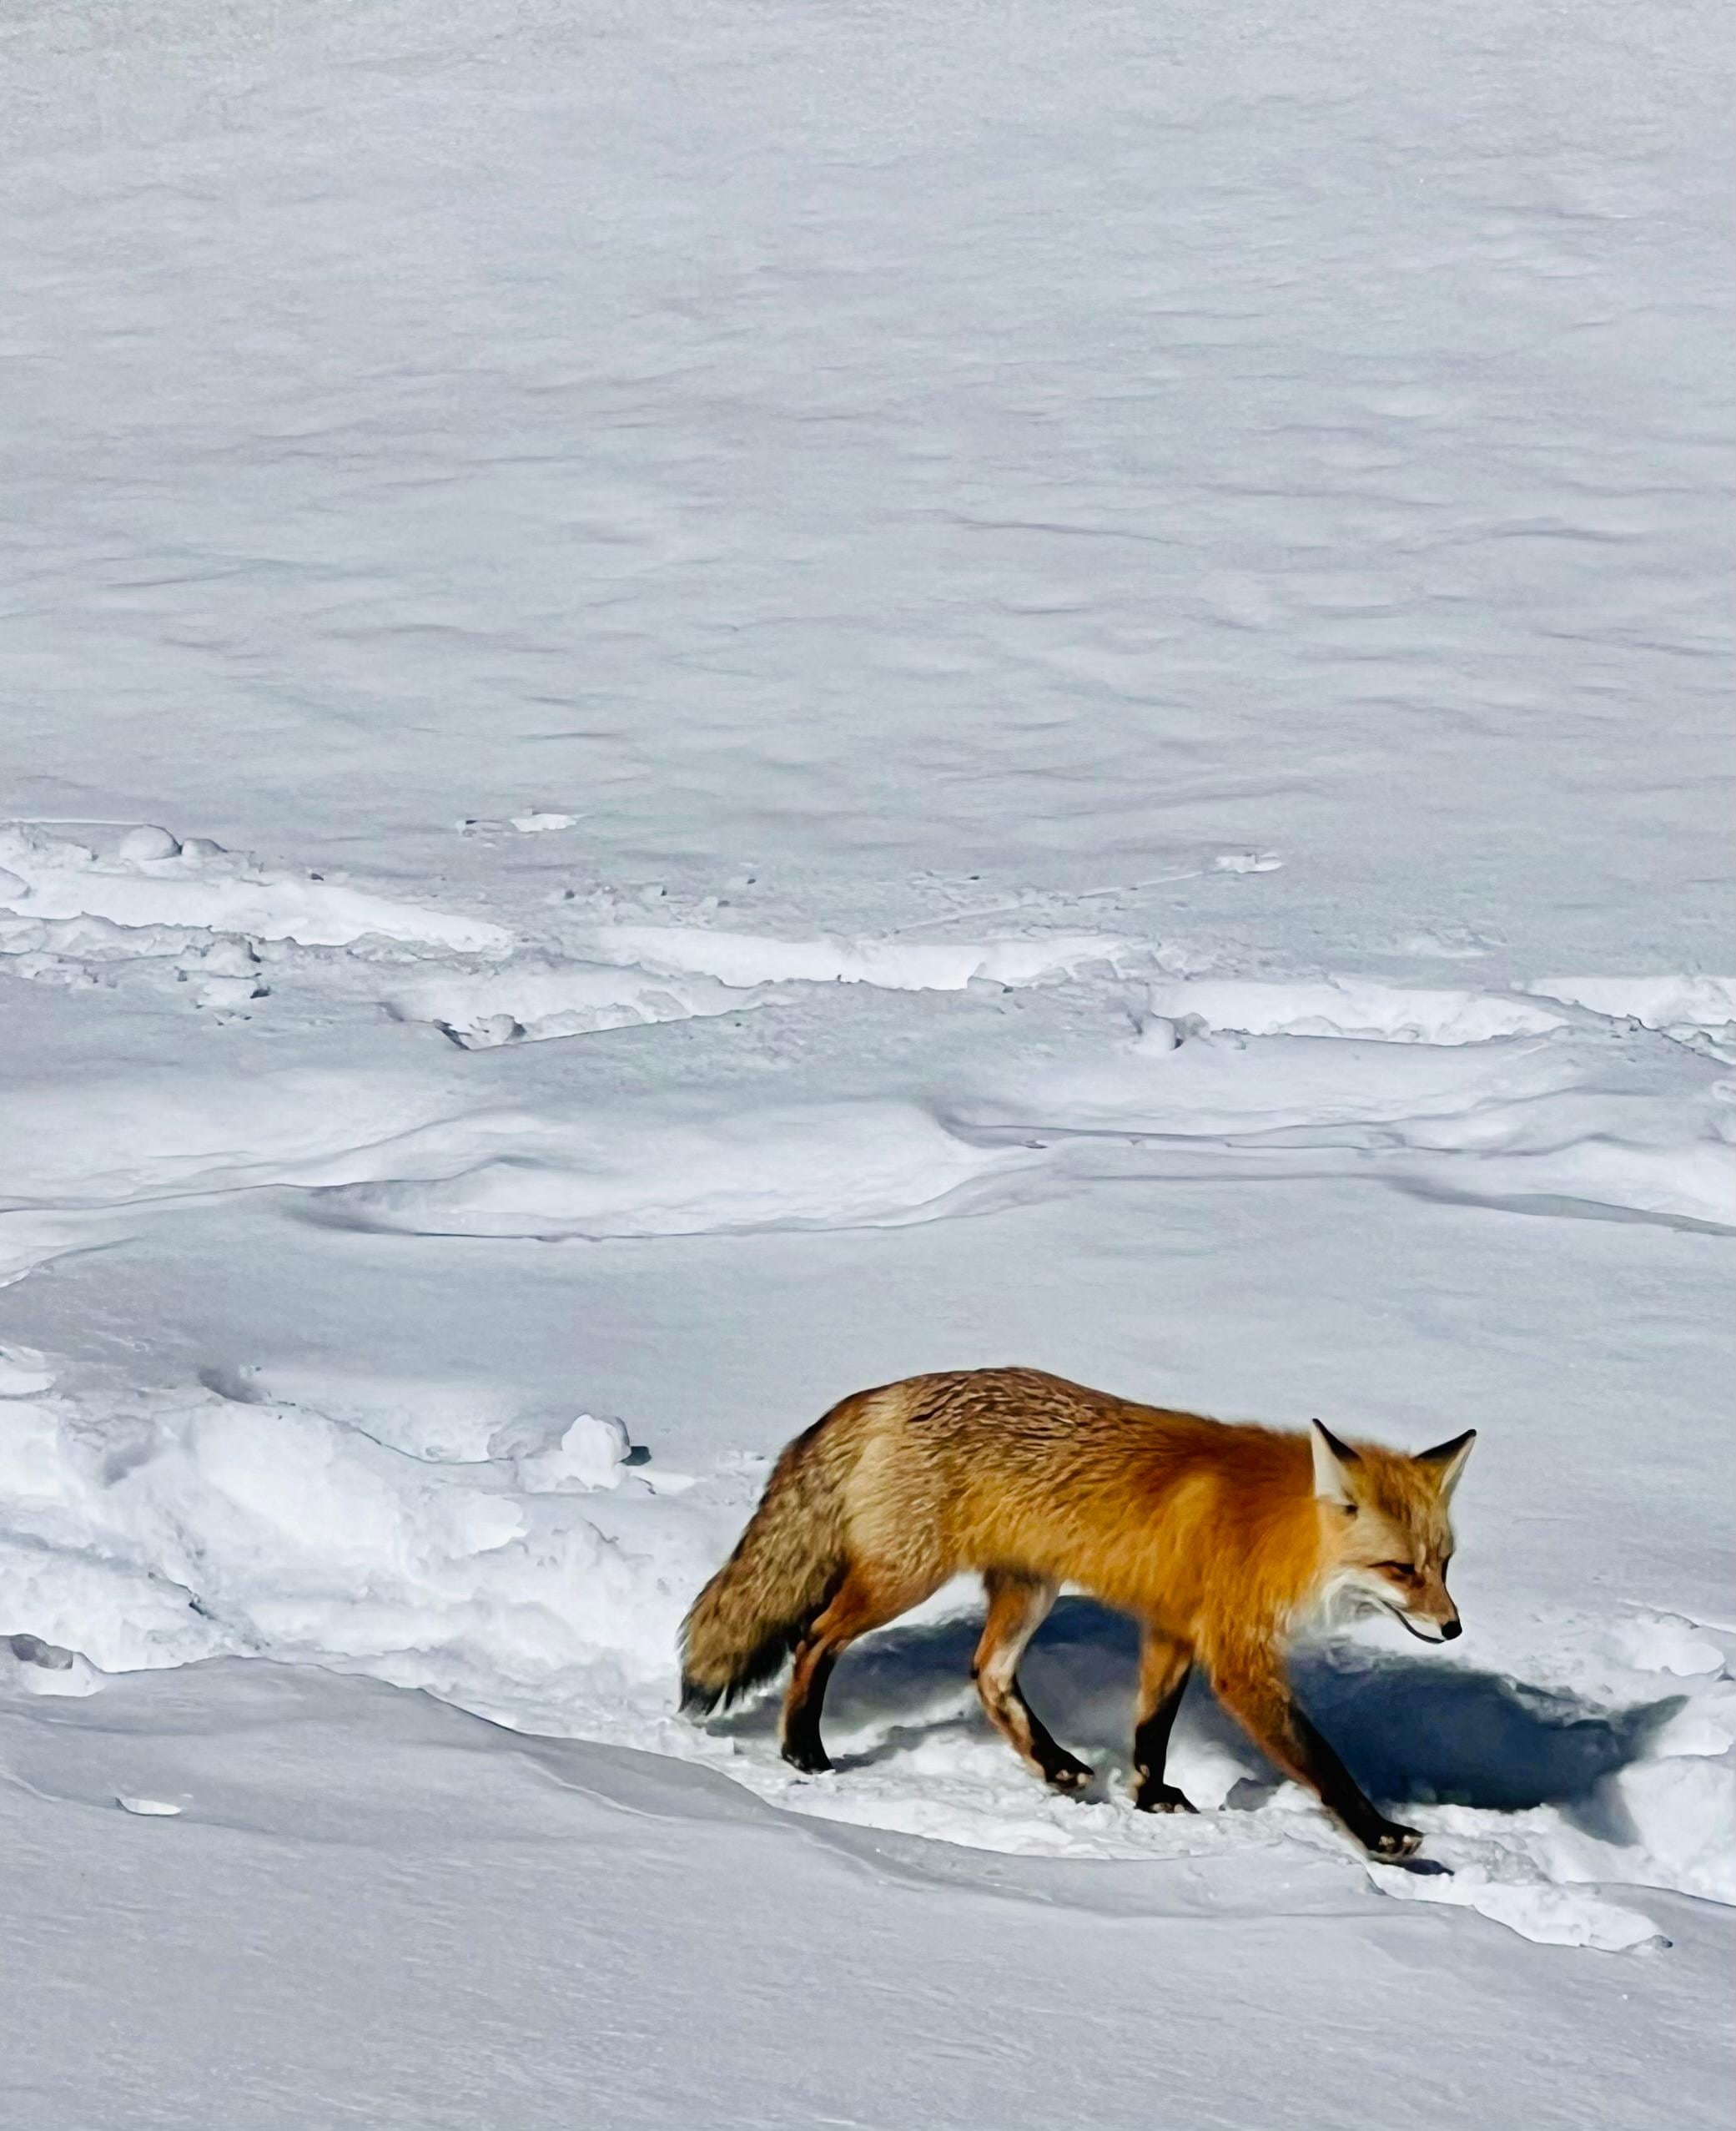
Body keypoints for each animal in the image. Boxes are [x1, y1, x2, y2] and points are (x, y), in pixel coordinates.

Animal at [680, 1366, 1475, 1858]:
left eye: (1443, 1563)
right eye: (1399, 1570)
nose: (1452, 1626)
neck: (1275, 1532)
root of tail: (881, 1393)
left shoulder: (1173, 1627)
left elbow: (1151, 1728)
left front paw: (1151, 1798)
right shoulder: (1236, 1657)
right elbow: (1321, 1760)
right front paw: (1381, 1837)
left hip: (1028, 1591)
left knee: (987, 1673)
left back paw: (1056, 1765)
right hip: (903, 1581)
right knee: (814, 1640)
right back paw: (802, 1751)